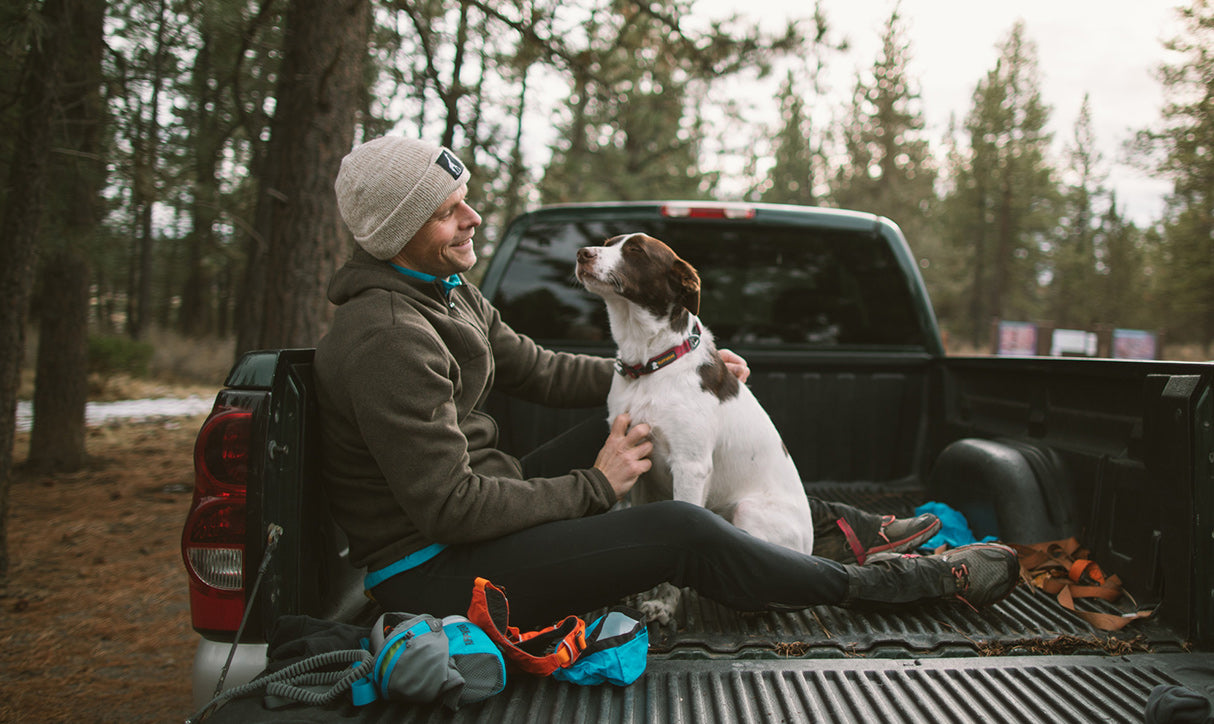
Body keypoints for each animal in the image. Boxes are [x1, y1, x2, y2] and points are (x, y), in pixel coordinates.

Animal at [575, 233, 815, 621]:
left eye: (635, 251)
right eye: (609, 242)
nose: (582, 254)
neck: (649, 364)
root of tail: (811, 549)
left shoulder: (690, 467)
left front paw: (663, 603)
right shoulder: (637, 463)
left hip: (748, 513)